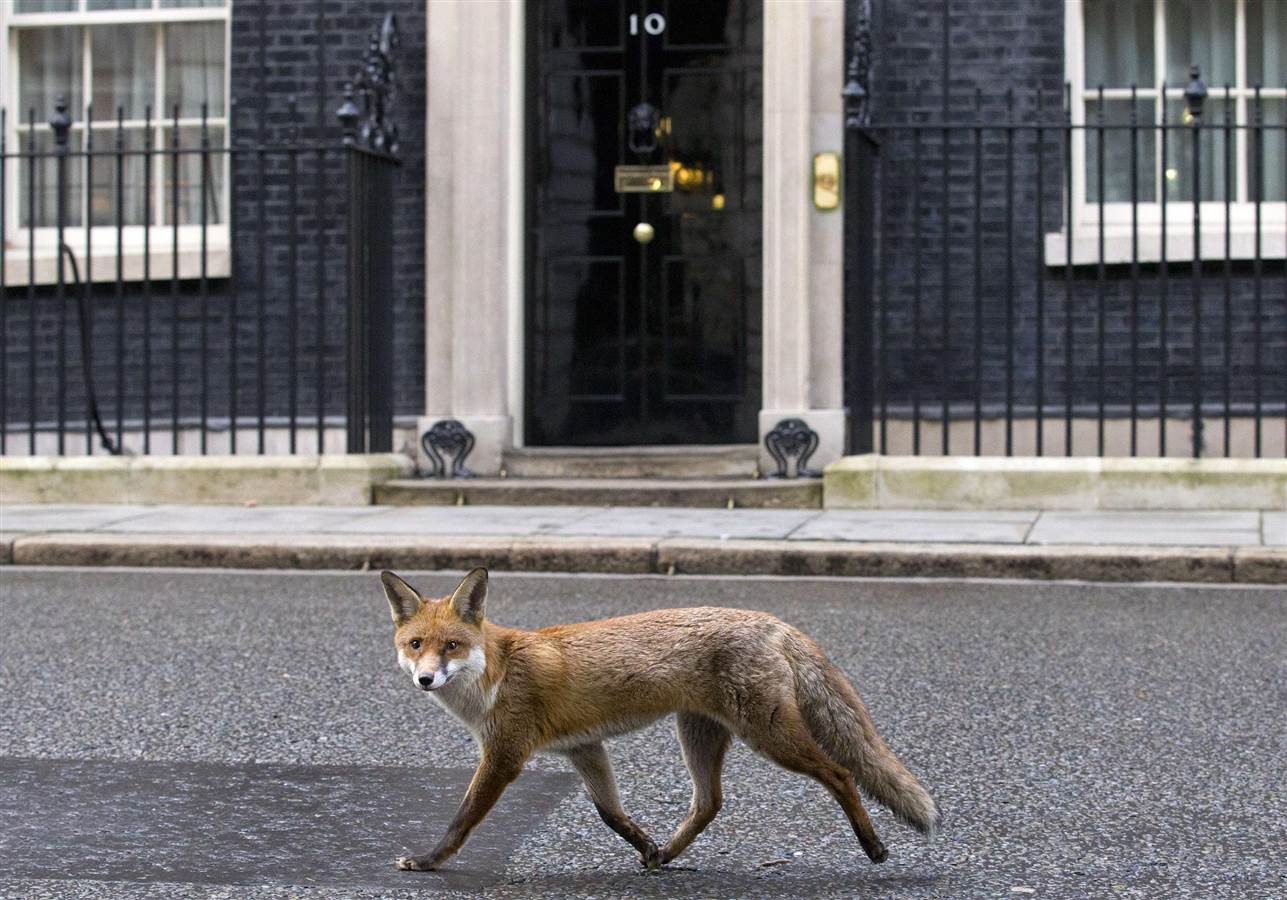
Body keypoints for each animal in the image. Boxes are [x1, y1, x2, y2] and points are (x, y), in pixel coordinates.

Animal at [378, 569, 936, 875]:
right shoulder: (584, 748)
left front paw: (429, 862)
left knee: (841, 774)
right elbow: (610, 814)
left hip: (770, 735)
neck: (495, 673)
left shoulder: (505, 754)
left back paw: (873, 846)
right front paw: (645, 844)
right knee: (710, 803)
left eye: (452, 645)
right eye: (415, 645)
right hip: (699, 735)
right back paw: (666, 853)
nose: (425, 679)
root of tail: (772, 621)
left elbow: (462, 819)